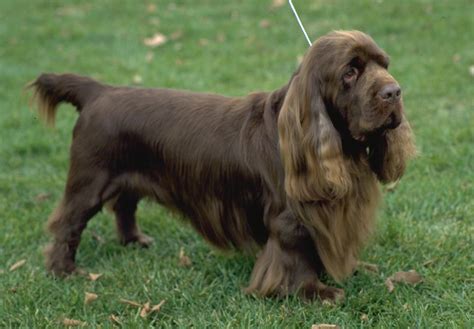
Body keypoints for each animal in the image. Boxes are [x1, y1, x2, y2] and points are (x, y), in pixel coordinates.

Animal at [31, 30, 412, 300]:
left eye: (385, 65)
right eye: (350, 71)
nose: (394, 92)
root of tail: (99, 91)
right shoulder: (291, 217)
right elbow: (295, 254)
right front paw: (312, 292)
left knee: (125, 204)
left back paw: (134, 240)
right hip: (89, 180)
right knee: (68, 223)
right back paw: (63, 270)